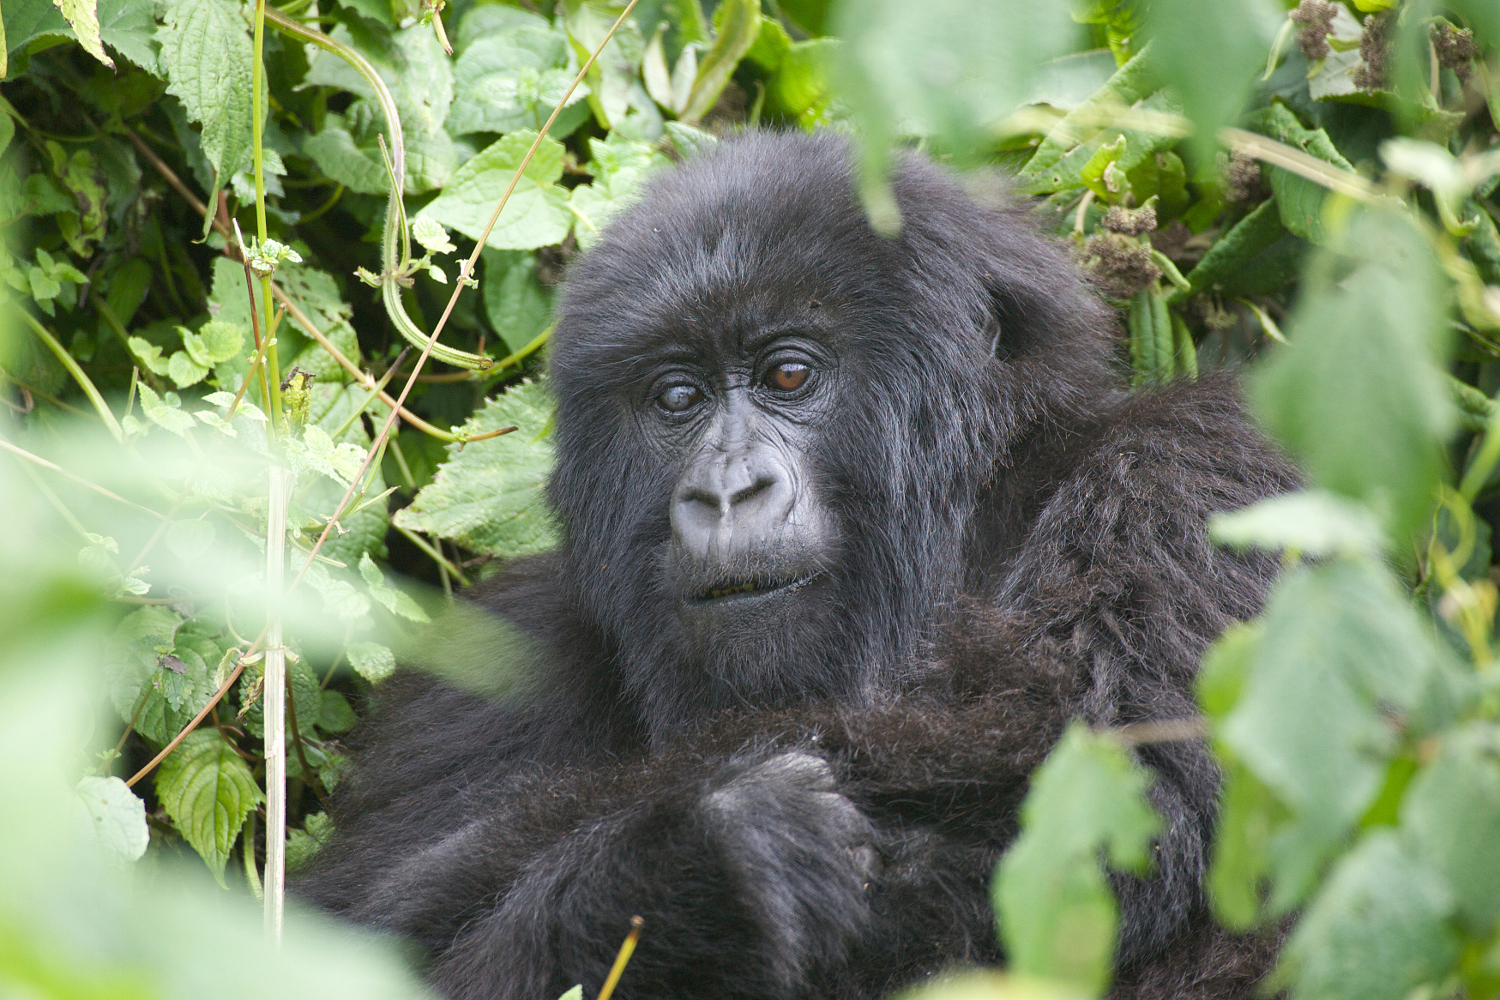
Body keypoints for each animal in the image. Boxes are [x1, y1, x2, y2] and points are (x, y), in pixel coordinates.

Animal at [295, 132, 1302, 1000]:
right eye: (677, 396)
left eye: (788, 376)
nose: (726, 492)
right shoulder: (497, 655)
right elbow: (367, 936)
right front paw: (694, 871)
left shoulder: (1191, 476)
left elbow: (1077, 777)